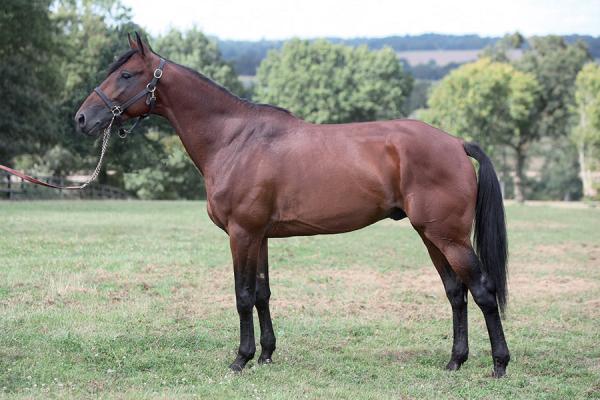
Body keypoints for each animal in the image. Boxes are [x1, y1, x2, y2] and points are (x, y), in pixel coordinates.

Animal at [72, 34, 508, 378]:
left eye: (126, 75)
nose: (81, 118)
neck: (234, 139)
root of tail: (456, 143)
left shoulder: (242, 234)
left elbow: (242, 295)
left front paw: (241, 358)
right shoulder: (260, 236)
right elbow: (262, 293)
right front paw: (265, 354)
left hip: (448, 237)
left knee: (482, 290)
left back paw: (499, 364)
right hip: (430, 235)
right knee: (456, 292)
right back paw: (455, 361)